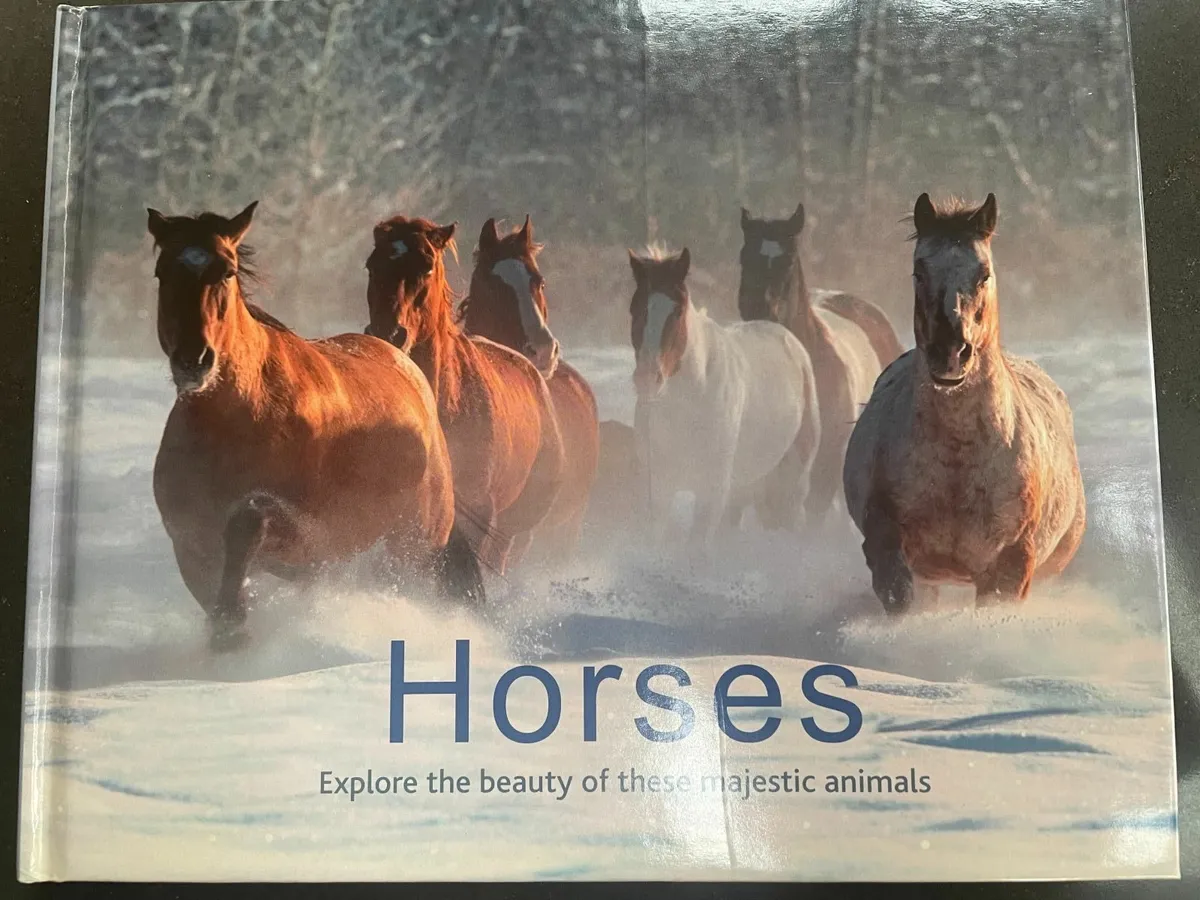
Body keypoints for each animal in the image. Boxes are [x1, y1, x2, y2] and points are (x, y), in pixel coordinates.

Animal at [147, 202, 483, 652]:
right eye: (162, 272)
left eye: (226, 271)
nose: (194, 360)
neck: (233, 421)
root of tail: (402, 360)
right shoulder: (188, 539)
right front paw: (230, 630)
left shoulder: (299, 530)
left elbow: (247, 525)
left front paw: (233, 623)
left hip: (415, 542)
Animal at [628, 246, 821, 549]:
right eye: (634, 309)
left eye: (677, 311)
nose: (647, 378)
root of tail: (793, 345)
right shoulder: (659, 485)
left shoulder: (712, 489)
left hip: (793, 480)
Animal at [842, 193, 1086, 614]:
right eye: (919, 272)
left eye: (984, 274)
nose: (950, 354)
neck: (959, 457)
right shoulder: (889, 546)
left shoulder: (1009, 564)